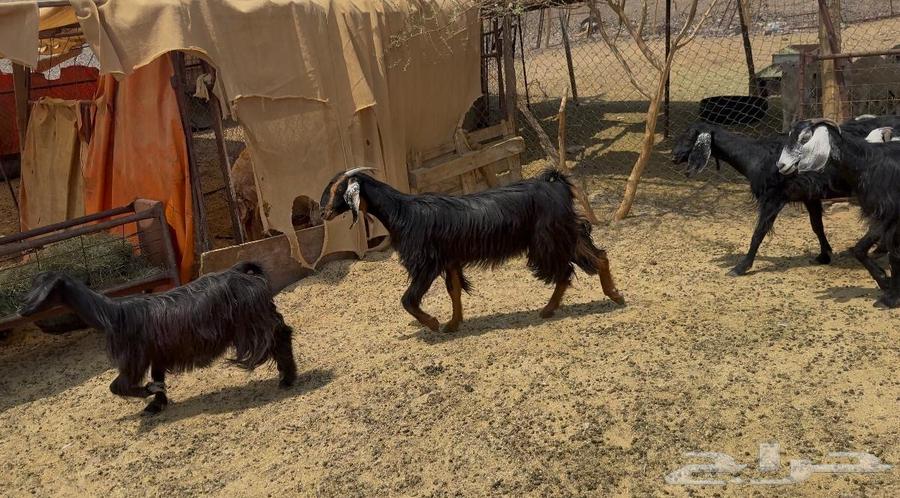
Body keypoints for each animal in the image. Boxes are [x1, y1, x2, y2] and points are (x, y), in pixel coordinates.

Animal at [18, 262, 297, 414]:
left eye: (45, 291)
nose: (21, 310)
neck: (112, 314)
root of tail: (247, 273)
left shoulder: (133, 359)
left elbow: (117, 386)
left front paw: (150, 392)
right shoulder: (157, 354)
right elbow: (158, 375)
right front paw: (157, 402)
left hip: (254, 323)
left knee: (281, 336)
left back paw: (288, 379)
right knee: (284, 332)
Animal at [319, 167, 625, 332]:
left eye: (337, 190)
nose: (322, 213)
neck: (402, 212)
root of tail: (556, 183)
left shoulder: (426, 264)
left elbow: (408, 300)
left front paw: (433, 323)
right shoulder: (451, 261)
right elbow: (454, 292)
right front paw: (453, 324)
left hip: (548, 241)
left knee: (566, 271)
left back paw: (557, 307)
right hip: (563, 235)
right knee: (597, 257)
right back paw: (612, 295)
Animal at [671, 117, 896, 276]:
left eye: (690, 136)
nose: (674, 155)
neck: (757, 155)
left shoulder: (773, 197)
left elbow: (759, 232)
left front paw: (741, 267)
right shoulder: (809, 196)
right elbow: (817, 226)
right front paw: (824, 255)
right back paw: (880, 249)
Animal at [776, 118, 900, 308]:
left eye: (805, 138)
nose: (782, 165)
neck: (868, 163)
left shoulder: (889, 215)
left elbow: (890, 256)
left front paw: (890, 298)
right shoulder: (882, 216)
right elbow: (860, 250)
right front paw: (884, 282)